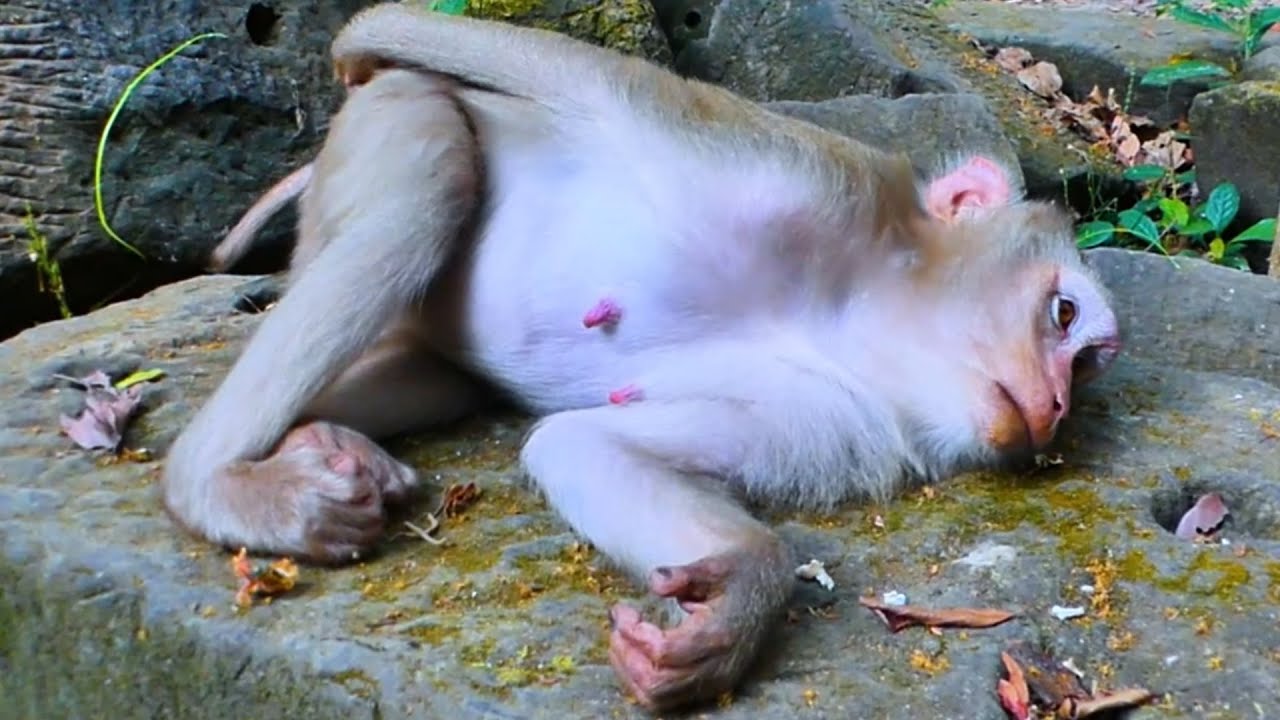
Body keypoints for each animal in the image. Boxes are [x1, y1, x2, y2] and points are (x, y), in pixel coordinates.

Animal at [164, 3, 1123, 712]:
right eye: (1063, 314)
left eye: (1087, 369)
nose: (1058, 408)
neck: (846, 312)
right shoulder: (803, 171)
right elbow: (566, 75)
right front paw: (351, 44)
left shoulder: (838, 412)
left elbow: (585, 446)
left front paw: (727, 611)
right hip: (382, 128)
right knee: (429, 183)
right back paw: (213, 483)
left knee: (430, 372)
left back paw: (328, 444)